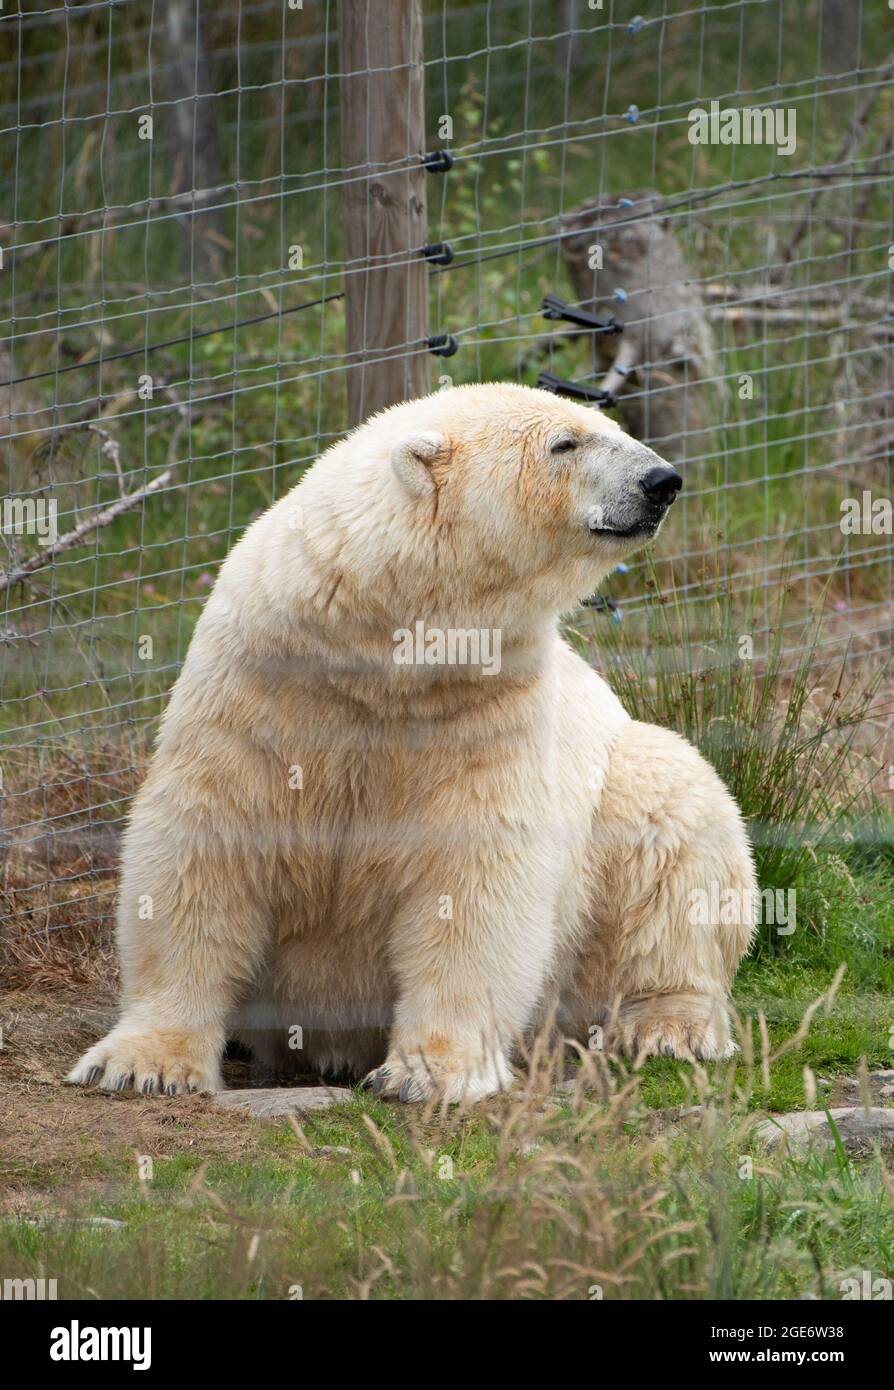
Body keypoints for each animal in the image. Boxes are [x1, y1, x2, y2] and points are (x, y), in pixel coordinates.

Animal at [66, 380, 756, 1095]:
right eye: (565, 442)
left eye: (608, 426)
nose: (662, 481)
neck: (381, 651)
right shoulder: (260, 690)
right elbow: (204, 845)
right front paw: (142, 1064)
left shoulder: (486, 708)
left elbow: (476, 877)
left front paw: (430, 1071)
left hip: (622, 794)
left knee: (678, 833)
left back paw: (669, 1025)